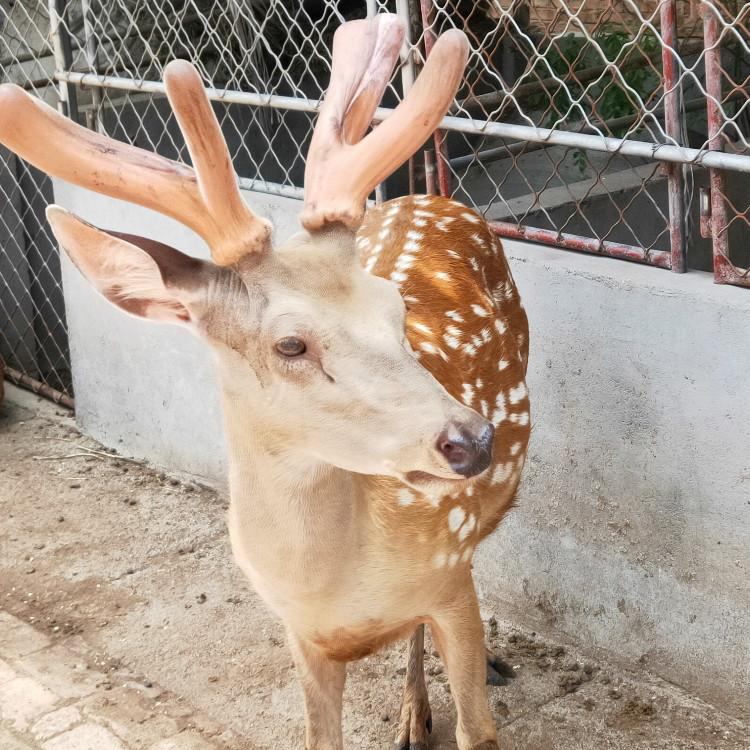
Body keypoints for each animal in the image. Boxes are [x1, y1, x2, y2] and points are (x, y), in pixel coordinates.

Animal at [0, 13, 532, 750]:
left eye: (395, 309)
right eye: (290, 344)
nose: (472, 439)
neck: (334, 589)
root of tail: (434, 193)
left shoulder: (449, 582)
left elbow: (478, 730)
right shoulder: (300, 635)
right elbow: (319, 737)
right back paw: (411, 718)